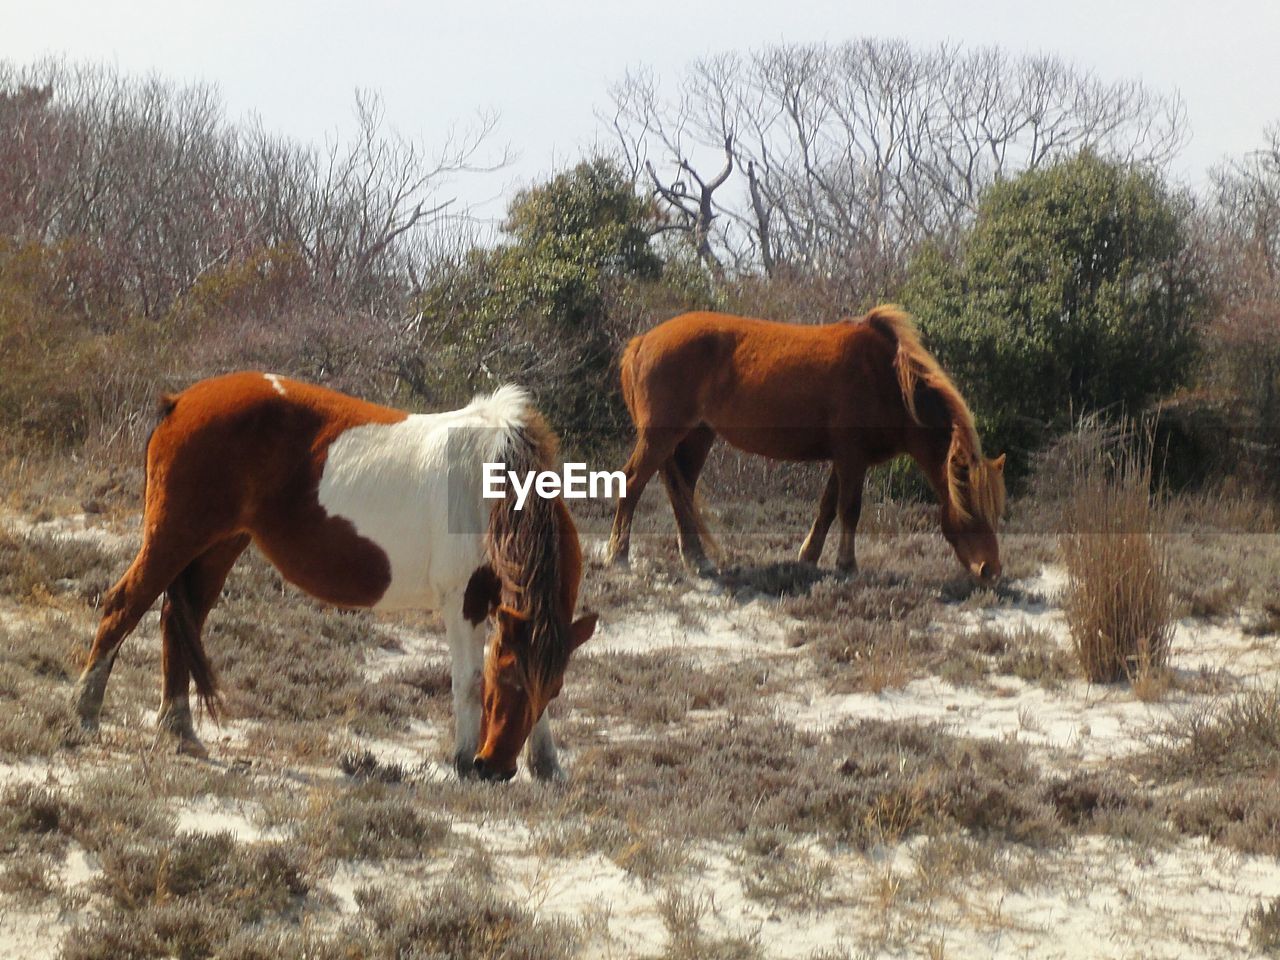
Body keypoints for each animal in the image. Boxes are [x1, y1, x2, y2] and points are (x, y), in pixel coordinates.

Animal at [74, 371, 599, 783]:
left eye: (551, 688)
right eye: (502, 678)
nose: (496, 770)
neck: (493, 486)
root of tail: (179, 402)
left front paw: (546, 765)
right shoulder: (462, 601)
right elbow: (465, 680)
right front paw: (464, 760)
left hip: (216, 547)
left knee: (176, 621)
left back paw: (179, 729)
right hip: (175, 537)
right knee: (124, 605)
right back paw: (84, 715)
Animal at [604, 308, 1003, 578]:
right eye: (970, 507)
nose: (991, 570)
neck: (887, 379)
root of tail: (641, 342)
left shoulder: (844, 458)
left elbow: (827, 507)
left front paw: (809, 557)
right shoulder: (851, 457)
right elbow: (849, 509)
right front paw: (847, 564)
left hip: (697, 437)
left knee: (680, 491)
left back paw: (696, 558)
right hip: (660, 436)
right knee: (633, 483)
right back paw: (618, 555)